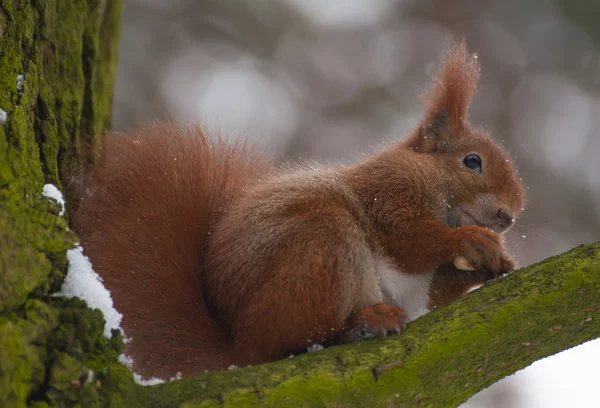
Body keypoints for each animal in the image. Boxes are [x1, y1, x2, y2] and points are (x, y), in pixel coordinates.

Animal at [70, 43, 524, 380]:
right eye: (472, 161)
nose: (509, 216)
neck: (435, 186)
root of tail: (236, 345)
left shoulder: (422, 281)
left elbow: (435, 291)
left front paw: (493, 264)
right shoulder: (386, 192)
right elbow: (408, 240)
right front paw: (471, 241)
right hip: (319, 251)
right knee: (282, 342)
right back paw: (362, 324)